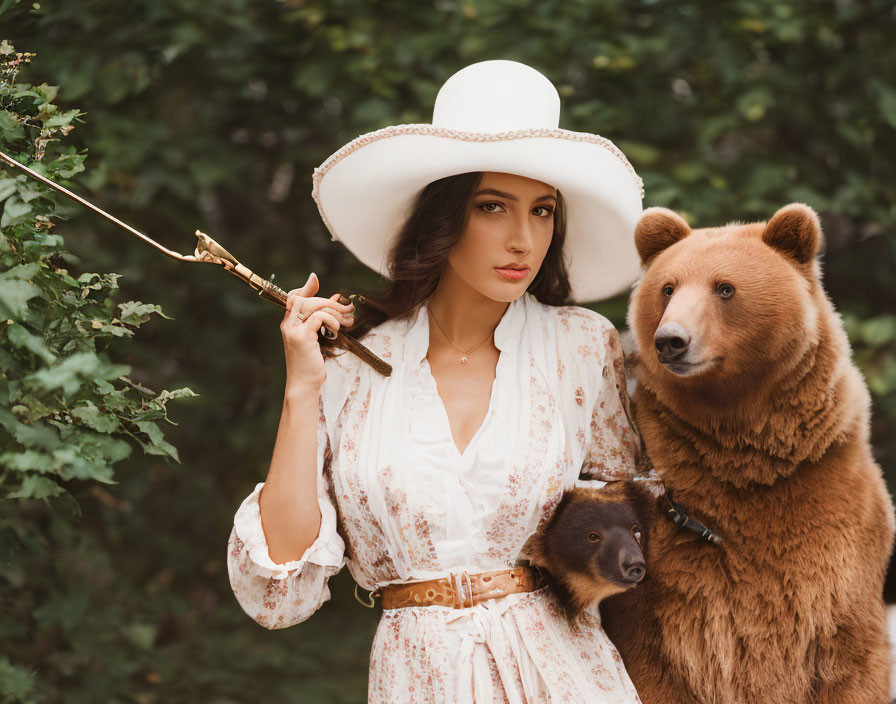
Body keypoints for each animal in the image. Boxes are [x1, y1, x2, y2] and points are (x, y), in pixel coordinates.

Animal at [600, 204, 896, 704]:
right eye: (667, 288)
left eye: (725, 287)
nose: (670, 340)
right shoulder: (660, 589)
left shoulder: (833, 504)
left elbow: (850, 661)